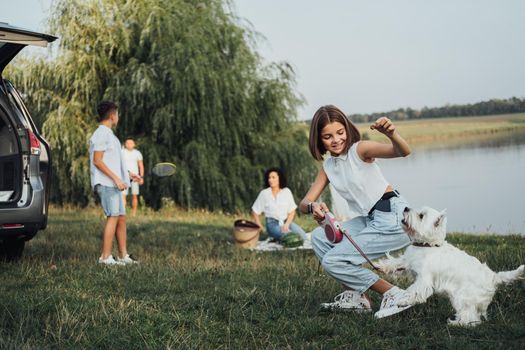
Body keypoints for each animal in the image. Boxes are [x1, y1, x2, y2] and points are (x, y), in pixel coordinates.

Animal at [376, 206, 524, 326]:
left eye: (421, 215)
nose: (406, 208)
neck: (428, 245)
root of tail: (494, 277)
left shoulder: (424, 279)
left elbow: (414, 291)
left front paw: (403, 301)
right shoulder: (408, 262)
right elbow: (396, 263)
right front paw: (381, 266)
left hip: (463, 297)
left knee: (470, 318)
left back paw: (455, 323)